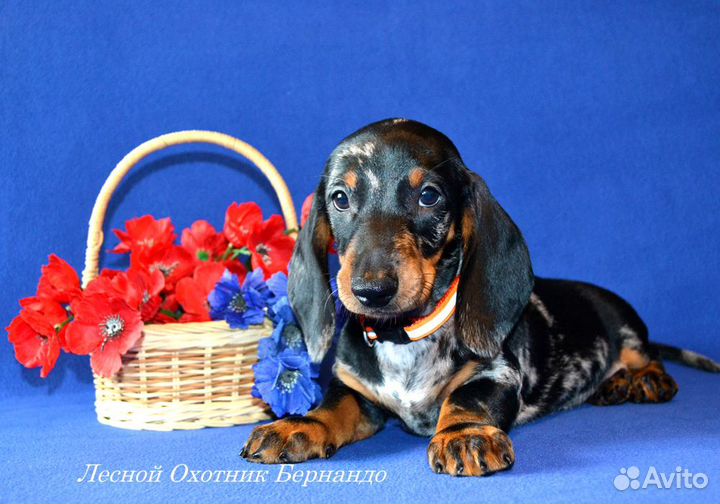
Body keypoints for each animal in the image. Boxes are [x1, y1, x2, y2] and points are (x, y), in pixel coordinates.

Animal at [243, 118, 720, 476]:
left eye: (429, 196)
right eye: (340, 198)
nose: (370, 291)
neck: (408, 337)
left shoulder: (498, 373)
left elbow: (465, 398)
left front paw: (465, 434)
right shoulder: (355, 390)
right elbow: (334, 405)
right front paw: (299, 425)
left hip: (628, 331)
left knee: (647, 357)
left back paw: (642, 379)